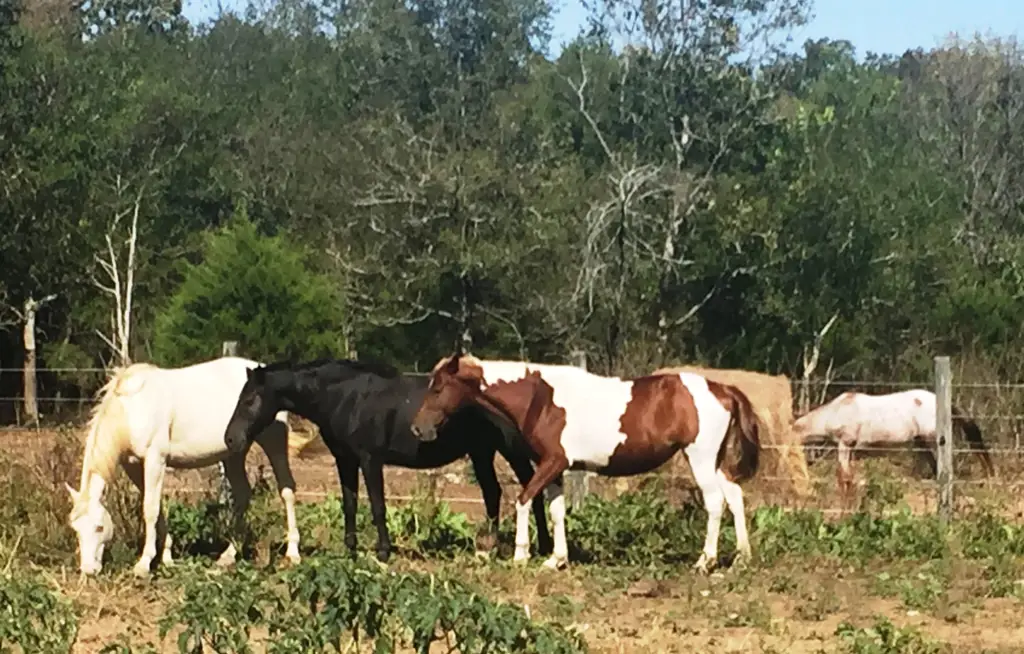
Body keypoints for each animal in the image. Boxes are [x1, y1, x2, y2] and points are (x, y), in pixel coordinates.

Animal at [65, 356, 299, 577]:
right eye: (75, 528)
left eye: (99, 527)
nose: (88, 570)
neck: (133, 408)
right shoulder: (133, 465)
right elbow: (155, 506)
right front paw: (167, 556)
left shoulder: (155, 458)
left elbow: (149, 509)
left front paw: (143, 564)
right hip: (233, 453)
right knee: (242, 495)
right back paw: (229, 554)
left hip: (273, 438)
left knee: (286, 489)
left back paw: (293, 553)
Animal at [222, 358, 552, 564]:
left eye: (249, 400)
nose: (231, 439)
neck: (347, 398)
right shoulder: (345, 459)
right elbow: (350, 504)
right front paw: (350, 550)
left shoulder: (370, 460)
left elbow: (377, 505)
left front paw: (382, 552)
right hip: (483, 452)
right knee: (499, 492)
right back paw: (500, 548)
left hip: (506, 450)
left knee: (525, 491)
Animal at [407, 352, 761, 573]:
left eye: (438, 387)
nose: (417, 428)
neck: (540, 398)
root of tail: (723, 389)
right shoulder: (555, 469)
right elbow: (556, 511)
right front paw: (556, 560)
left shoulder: (552, 462)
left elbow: (523, 500)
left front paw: (521, 554)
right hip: (714, 461)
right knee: (735, 496)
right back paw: (742, 558)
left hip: (699, 457)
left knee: (715, 503)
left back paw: (705, 561)